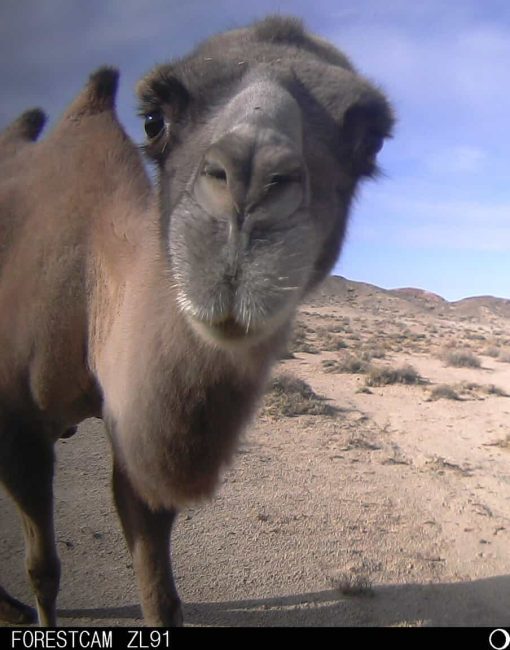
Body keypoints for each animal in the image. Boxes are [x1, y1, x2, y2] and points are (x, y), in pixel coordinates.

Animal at [0, 16, 393, 626]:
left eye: (368, 138)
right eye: (154, 119)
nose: (249, 185)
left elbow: (161, 594)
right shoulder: (18, 426)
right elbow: (44, 569)